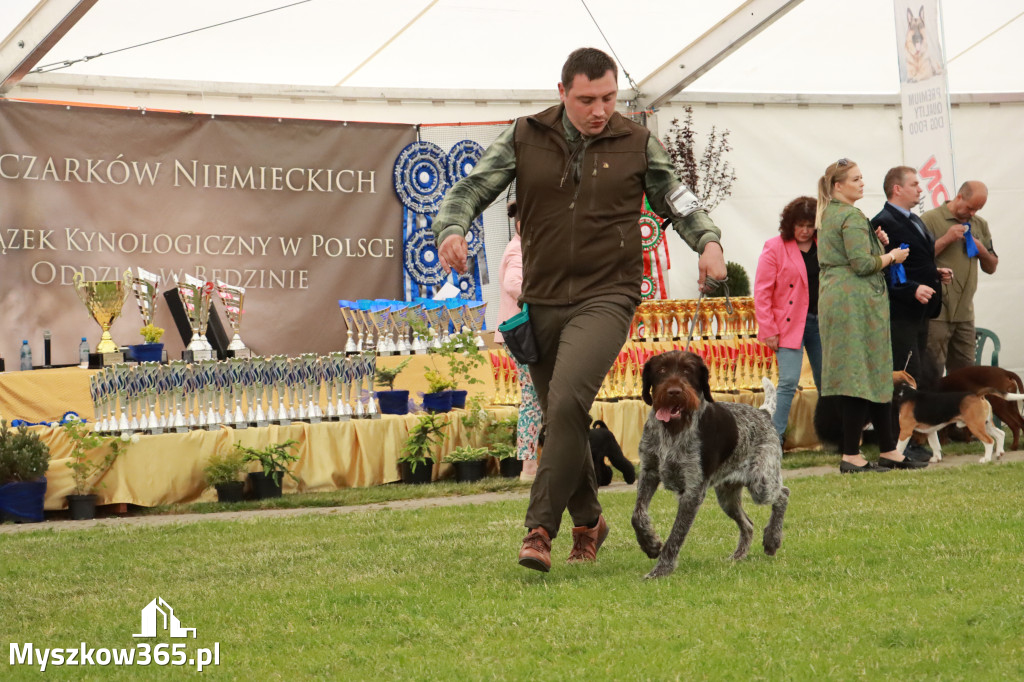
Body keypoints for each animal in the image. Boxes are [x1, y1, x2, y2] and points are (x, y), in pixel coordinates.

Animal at [626, 350, 786, 577]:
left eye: (688, 371)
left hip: (761, 483)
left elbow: (675, 535)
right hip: (727, 496)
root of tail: (763, 413)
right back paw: (738, 555)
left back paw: (772, 539)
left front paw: (661, 570)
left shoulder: (693, 491)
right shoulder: (649, 472)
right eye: (662, 370)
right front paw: (650, 544)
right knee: (748, 524)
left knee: (783, 494)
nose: (674, 392)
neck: (672, 430)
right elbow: (637, 515)